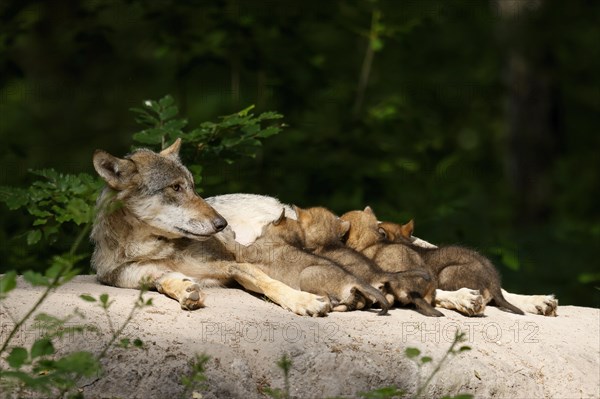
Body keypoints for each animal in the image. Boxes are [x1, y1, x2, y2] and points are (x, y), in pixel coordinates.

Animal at [91, 139, 330, 318]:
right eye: (176, 187)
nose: (222, 224)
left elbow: (268, 282)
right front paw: (185, 290)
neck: (152, 249)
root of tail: (279, 203)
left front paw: (303, 300)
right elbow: (166, 281)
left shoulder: (233, 266)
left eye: (193, 187)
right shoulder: (146, 276)